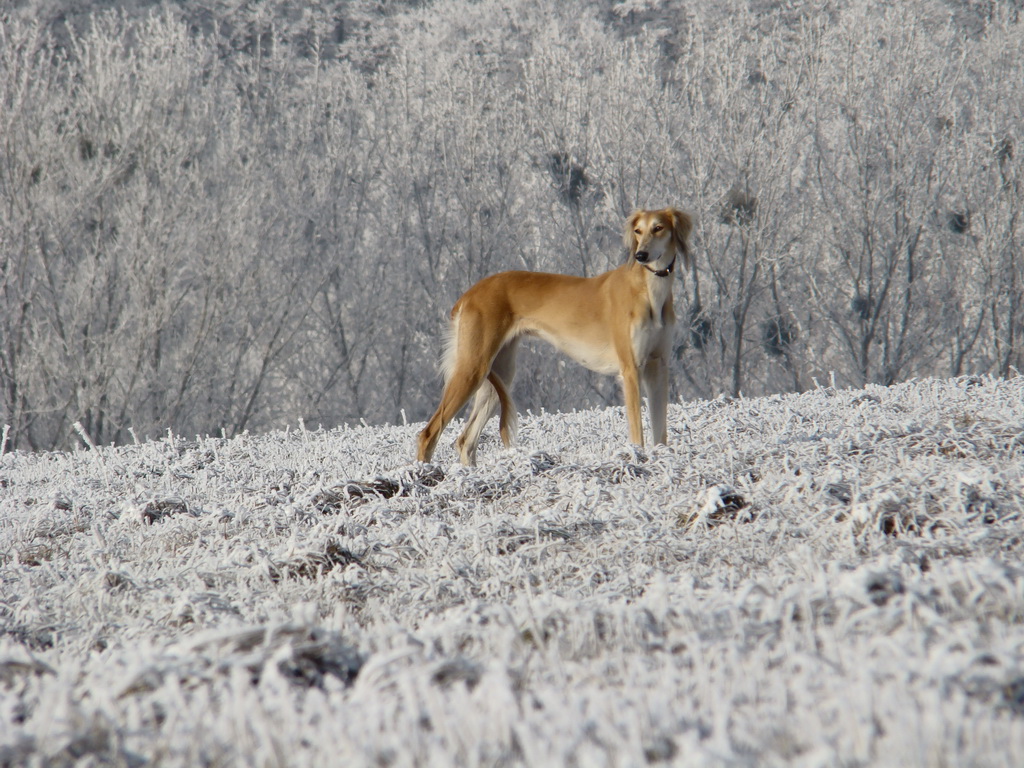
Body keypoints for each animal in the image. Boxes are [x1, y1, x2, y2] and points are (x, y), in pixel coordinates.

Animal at [417, 207, 696, 466]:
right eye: (638, 231)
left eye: (658, 228)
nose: (641, 255)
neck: (650, 291)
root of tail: (469, 294)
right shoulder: (631, 370)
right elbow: (637, 432)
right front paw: (638, 458)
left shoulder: (657, 366)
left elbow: (660, 431)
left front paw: (661, 459)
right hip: (472, 369)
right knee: (429, 433)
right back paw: (424, 475)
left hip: (498, 374)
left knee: (465, 440)